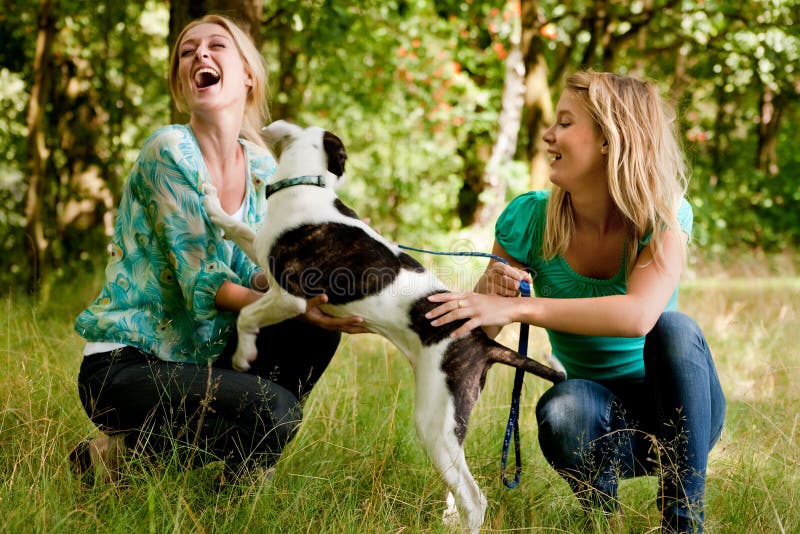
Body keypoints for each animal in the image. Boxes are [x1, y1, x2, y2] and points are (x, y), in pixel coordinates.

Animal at [203, 121, 564, 534]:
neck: (306, 183)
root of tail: (479, 341)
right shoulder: (263, 249)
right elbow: (237, 228)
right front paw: (212, 204)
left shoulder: (291, 297)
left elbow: (247, 315)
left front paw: (244, 354)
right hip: (452, 420)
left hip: (434, 422)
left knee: (474, 500)